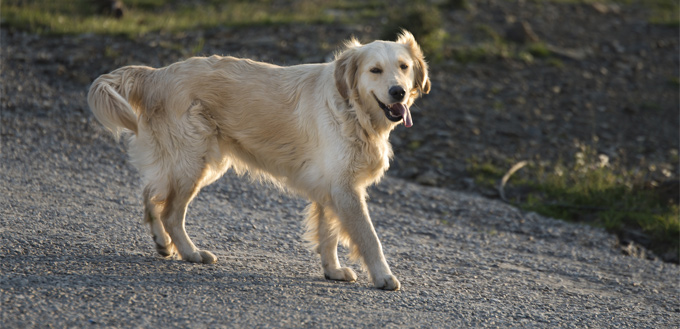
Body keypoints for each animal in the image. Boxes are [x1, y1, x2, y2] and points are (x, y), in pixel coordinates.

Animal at [86, 29, 430, 288]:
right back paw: (191, 253)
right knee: (170, 211)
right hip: (194, 161)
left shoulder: (331, 186)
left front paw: (332, 270)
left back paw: (162, 242)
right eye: (375, 70)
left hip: (201, 162)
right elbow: (369, 237)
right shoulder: (344, 188)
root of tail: (158, 74)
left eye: (403, 67)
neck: (354, 110)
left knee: (151, 192)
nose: (398, 92)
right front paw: (384, 276)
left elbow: (329, 233)